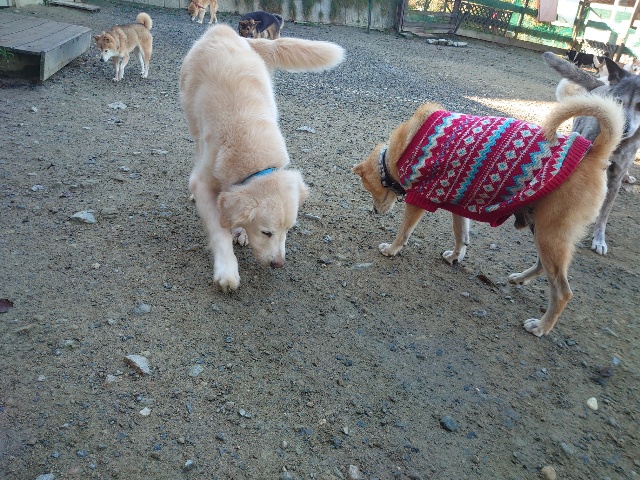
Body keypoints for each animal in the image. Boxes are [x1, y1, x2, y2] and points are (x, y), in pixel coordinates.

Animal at [180, 24, 344, 292]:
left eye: (289, 229)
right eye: (266, 233)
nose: (278, 264)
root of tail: (224, 29)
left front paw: (240, 231)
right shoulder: (203, 182)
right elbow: (218, 230)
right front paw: (227, 270)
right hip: (192, 119)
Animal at [353, 96, 623, 336]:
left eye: (370, 191)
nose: (374, 212)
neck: (399, 151)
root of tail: (595, 153)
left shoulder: (420, 198)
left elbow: (404, 232)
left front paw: (391, 249)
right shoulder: (456, 200)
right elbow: (461, 235)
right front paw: (455, 256)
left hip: (550, 235)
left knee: (563, 292)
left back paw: (541, 327)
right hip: (542, 230)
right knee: (542, 267)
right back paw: (520, 279)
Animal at [544, 52, 640, 255]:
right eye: (618, 101)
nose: (623, 129)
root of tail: (601, 85)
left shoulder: (615, 179)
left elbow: (604, 214)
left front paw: (599, 239)